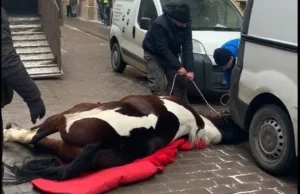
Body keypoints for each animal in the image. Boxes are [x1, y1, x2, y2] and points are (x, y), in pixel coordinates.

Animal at [2, 94, 247, 184]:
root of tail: (104, 140)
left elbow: (34, 132)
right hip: (65, 145)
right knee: (36, 140)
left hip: (66, 117)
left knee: (34, 135)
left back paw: (8, 132)